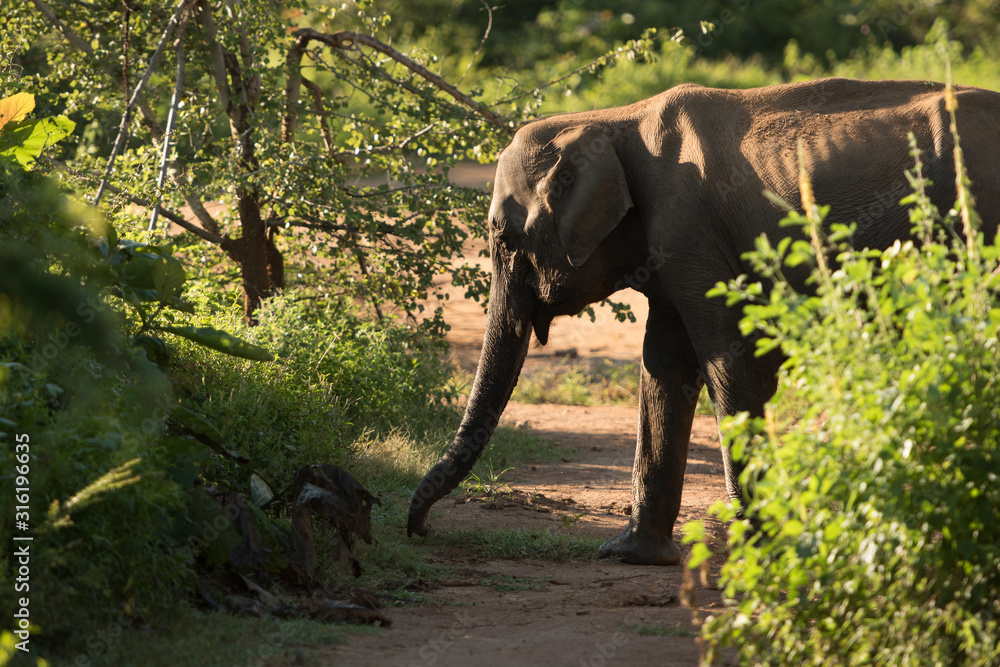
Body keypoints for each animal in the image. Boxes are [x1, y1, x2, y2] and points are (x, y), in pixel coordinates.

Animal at [407, 77, 1000, 565]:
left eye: (505, 239)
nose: (421, 531)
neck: (610, 120)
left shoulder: (690, 230)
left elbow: (731, 364)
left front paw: (765, 553)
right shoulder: (669, 250)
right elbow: (663, 369)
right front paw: (630, 556)